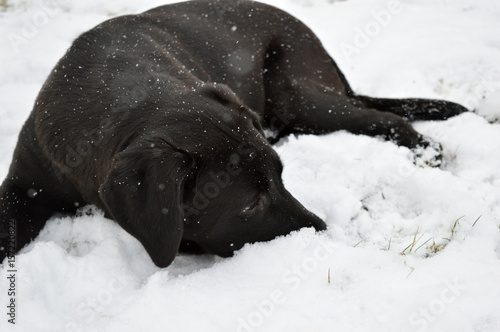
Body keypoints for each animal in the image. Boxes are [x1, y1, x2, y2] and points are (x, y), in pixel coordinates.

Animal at [0, 0, 464, 268]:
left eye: (281, 176)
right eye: (250, 203)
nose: (320, 229)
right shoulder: (24, 184)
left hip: (303, 95)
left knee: (386, 119)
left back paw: (427, 153)